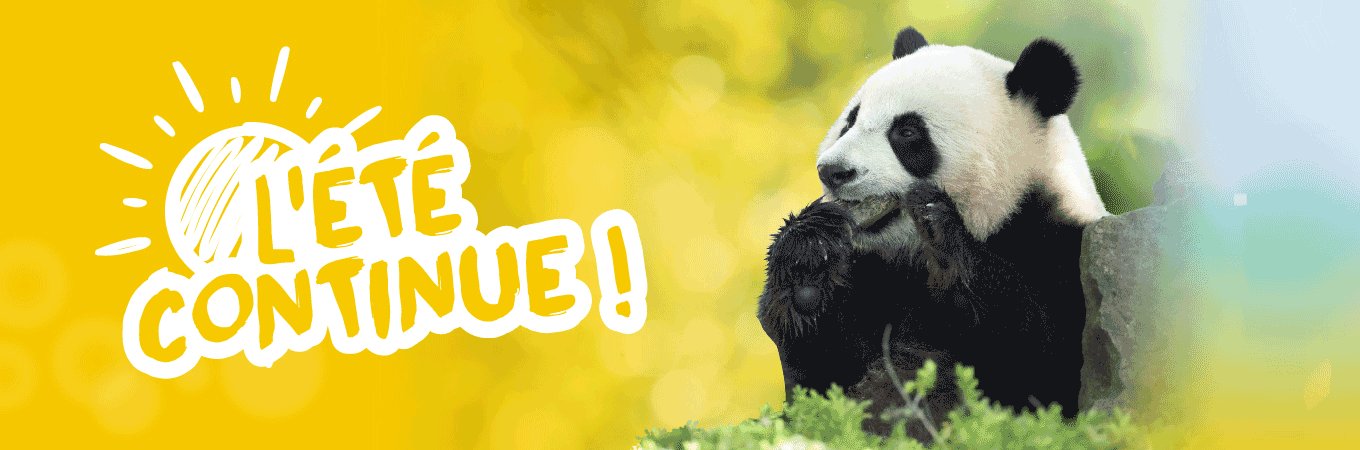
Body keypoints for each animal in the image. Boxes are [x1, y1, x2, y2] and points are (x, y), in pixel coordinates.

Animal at [757, 27, 1108, 442]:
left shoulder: (1063, 252)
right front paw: (807, 258)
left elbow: (1046, 361)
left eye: (907, 132)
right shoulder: (874, 277)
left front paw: (937, 222)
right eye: (850, 121)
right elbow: (818, 381)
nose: (833, 171)